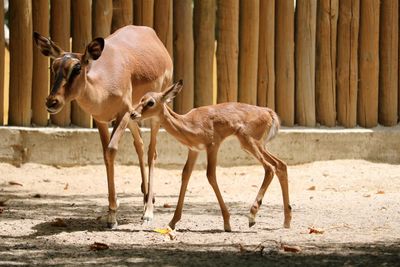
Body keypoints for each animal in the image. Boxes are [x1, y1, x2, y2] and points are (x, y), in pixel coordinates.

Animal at [33, 25, 173, 228]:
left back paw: (148, 212)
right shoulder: (101, 120)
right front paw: (112, 212)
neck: (103, 85)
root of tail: (151, 34)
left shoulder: (122, 114)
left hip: (153, 113)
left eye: (77, 68)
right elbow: (106, 155)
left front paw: (113, 214)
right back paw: (147, 197)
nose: (52, 102)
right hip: (134, 116)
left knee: (151, 152)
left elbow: (112, 149)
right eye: (54, 66)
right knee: (139, 144)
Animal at [130, 81, 292, 232]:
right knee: (280, 165)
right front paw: (172, 222)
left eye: (151, 102)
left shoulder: (213, 146)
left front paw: (227, 223)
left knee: (270, 168)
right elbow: (185, 175)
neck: (189, 124)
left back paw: (252, 217)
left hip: (249, 143)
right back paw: (286, 221)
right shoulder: (194, 150)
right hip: (257, 146)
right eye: (141, 98)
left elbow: (211, 175)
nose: (133, 114)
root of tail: (268, 112)